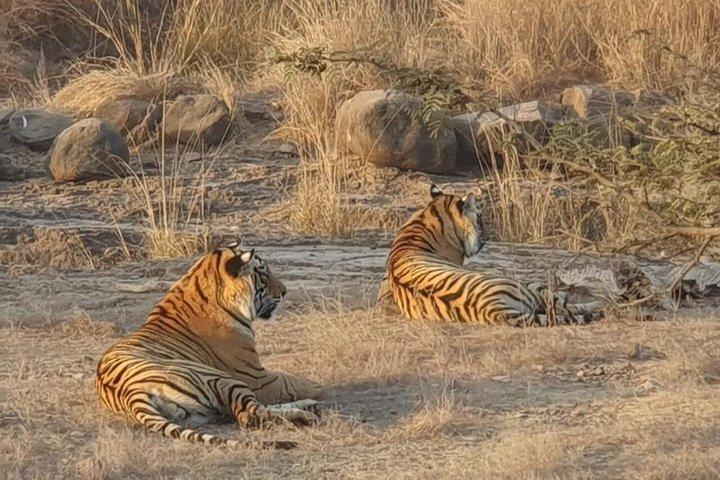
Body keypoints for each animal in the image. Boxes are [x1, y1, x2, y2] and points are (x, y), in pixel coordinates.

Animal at [96, 240, 321, 449]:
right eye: (264, 277)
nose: (284, 291)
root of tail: (129, 393)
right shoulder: (257, 378)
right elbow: (296, 382)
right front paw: (318, 387)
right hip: (221, 379)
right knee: (248, 414)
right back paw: (306, 414)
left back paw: (309, 406)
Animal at [381, 184, 601, 326]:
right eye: (480, 219)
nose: (486, 238)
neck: (428, 217)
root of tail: (493, 309)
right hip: (526, 286)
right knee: (564, 306)